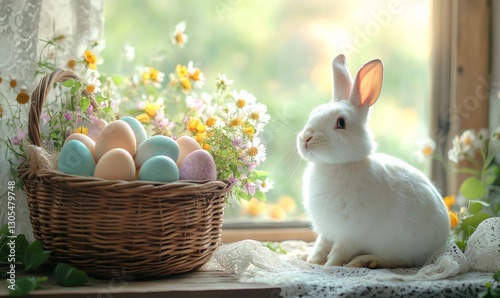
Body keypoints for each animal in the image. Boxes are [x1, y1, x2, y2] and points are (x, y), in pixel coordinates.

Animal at [296, 54, 450, 268]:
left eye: (341, 123)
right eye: (313, 114)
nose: (306, 138)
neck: (336, 165)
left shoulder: (351, 234)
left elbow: (338, 252)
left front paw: (329, 266)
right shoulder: (327, 232)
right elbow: (321, 246)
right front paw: (312, 261)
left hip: (400, 248)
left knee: (397, 261)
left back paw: (365, 261)